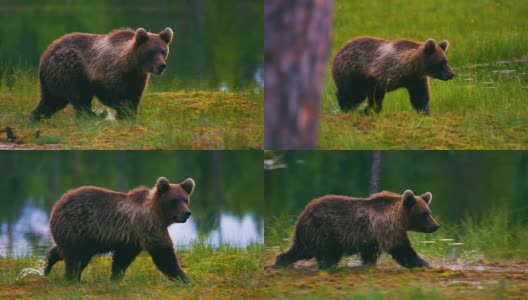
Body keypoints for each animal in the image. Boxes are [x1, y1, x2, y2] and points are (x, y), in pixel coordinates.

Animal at [30, 27, 173, 120]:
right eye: (151, 52)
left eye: (163, 51)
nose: (162, 66)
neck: (132, 65)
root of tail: (45, 55)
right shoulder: (107, 72)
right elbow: (110, 95)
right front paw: (120, 112)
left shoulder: (137, 79)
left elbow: (134, 98)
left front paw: (130, 116)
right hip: (69, 70)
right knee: (78, 97)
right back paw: (92, 116)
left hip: (53, 80)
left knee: (52, 100)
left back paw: (36, 117)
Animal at [43, 177, 194, 282]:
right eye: (174, 200)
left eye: (185, 199)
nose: (187, 213)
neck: (159, 215)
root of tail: (58, 203)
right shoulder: (148, 228)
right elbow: (164, 256)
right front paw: (184, 279)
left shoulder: (132, 238)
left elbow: (122, 259)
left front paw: (115, 278)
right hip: (76, 228)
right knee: (74, 257)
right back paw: (71, 278)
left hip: (86, 239)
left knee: (69, 253)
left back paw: (49, 266)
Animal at [274, 190, 440, 270]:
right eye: (424, 214)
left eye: (429, 212)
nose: (436, 225)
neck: (398, 218)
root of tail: (302, 215)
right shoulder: (386, 228)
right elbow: (401, 249)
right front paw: (425, 264)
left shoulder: (372, 238)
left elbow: (370, 253)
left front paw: (368, 264)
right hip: (324, 231)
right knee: (327, 253)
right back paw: (327, 266)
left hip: (311, 235)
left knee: (299, 249)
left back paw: (281, 260)